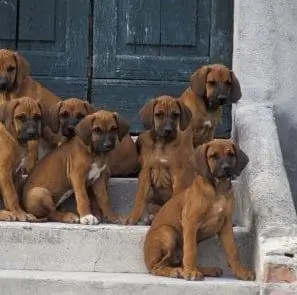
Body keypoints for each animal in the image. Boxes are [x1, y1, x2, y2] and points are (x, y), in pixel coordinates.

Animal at [121, 96, 193, 225]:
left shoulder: (177, 172)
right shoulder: (145, 172)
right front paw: (132, 217)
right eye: (158, 114)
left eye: (176, 115)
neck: (162, 143)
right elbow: (140, 197)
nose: (168, 130)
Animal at [143, 139, 254, 282]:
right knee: (158, 266)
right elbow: (191, 251)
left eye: (231, 154)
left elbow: (233, 250)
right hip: (168, 232)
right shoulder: (190, 222)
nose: (226, 168)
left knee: (178, 262)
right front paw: (190, 272)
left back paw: (204, 270)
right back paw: (176, 271)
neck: (218, 190)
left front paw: (241, 271)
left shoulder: (226, 225)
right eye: (213, 156)